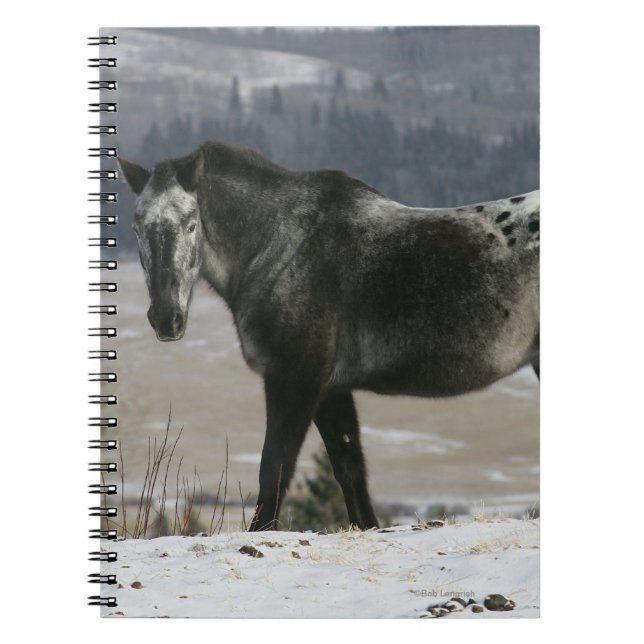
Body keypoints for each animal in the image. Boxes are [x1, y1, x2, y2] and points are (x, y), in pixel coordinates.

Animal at [118, 139, 539, 531]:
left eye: (191, 224)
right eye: (136, 228)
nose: (166, 319)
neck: (281, 246)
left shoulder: (294, 379)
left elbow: (275, 466)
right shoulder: (330, 389)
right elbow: (349, 468)